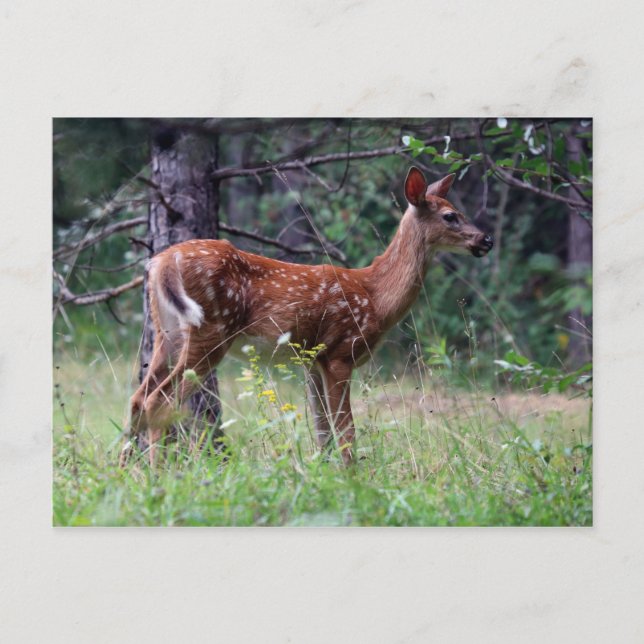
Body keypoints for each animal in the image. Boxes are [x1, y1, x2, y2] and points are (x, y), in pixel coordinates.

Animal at [122, 167, 493, 466]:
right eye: (450, 216)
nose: (486, 239)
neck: (375, 296)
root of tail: (162, 261)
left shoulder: (312, 360)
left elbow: (322, 431)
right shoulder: (341, 352)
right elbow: (345, 431)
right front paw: (354, 479)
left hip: (167, 332)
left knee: (138, 397)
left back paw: (127, 472)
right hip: (209, 330)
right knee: (158, 401)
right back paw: (157, 475)